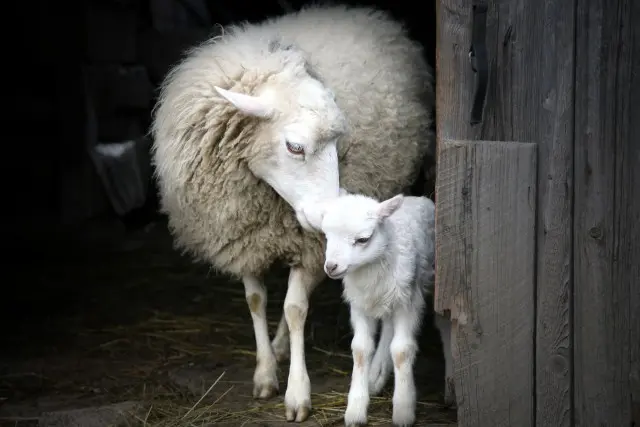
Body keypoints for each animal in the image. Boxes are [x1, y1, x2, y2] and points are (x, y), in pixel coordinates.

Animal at [151, 3, 435, 422]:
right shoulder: (242, 237)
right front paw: (266, 372)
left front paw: (297, 392)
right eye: (295, 147)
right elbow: (257, 301)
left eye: (338, 143)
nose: (327, 218)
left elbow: (297, 308)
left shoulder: (310, 248)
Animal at [300, 192, 453, 426]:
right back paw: (376, 375)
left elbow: (401, 350)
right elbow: (361, 349)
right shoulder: (359, 304)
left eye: (363, 239)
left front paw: (403, 409)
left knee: (443, 324)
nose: (331, 267)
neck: (370, 270)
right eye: (326, 235)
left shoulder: (408, 301)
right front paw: (355, 410)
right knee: (388, 328)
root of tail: (418, 198)